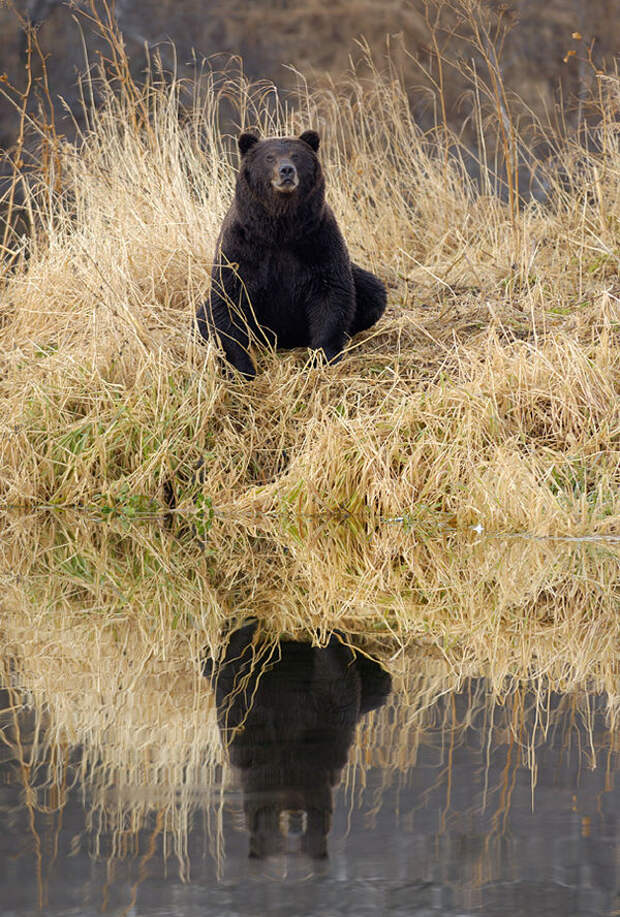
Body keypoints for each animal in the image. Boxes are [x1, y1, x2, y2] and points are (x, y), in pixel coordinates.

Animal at [196, 127, 386, 378]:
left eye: (296, 155)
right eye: (269, 157)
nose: (286, 170)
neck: (281, 230)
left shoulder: (317, 240)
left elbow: (332, 294)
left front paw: (322, 358)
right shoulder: (242, 247)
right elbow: (228, 302)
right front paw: (242, 369)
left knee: (373, 292)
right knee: (202, 317)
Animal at [205, 620, 392, 864]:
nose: (294, 821)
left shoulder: (329, 736)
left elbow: (337, 685)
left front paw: (326, 634)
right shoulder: (250, 738)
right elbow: (235, 680)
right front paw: (248, 623)